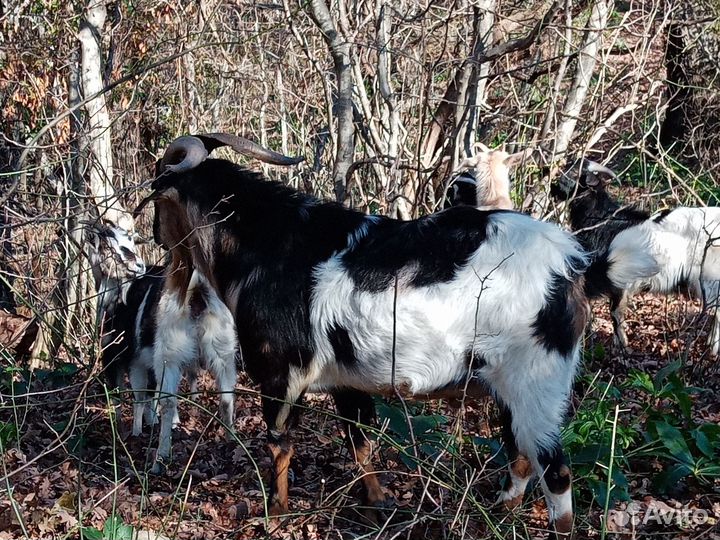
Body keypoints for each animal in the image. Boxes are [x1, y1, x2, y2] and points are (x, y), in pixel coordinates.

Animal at [135, 133, 662, 538]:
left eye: (158, 193)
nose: (157, 238)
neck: (265, 244)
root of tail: (576, 266)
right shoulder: (346, 381)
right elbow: (361, 443)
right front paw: (378, 507)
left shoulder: (278, 374)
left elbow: (280, 447)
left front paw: (276, 514)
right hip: (508, 391)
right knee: (519, 457)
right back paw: (497, 512)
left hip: (537, 382)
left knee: (555, 470)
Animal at [551, 161, 720, 353]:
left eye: (573, 174)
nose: (553, 189)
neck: (602, 221)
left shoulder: (617, 280)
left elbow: (615, 312)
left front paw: (622, 346)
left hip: (708, 278)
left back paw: (712, 348)